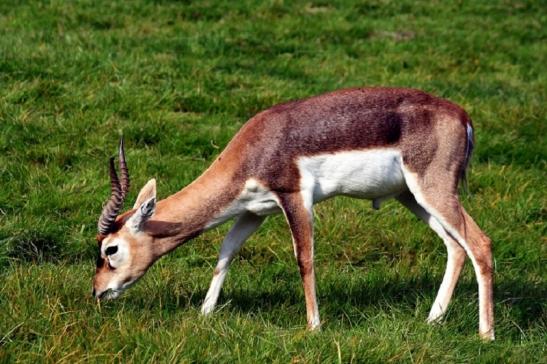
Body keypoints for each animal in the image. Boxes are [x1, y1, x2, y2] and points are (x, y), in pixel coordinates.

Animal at [92, 86, 494, 340]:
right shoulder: (253, 211)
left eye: (111, 249)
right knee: (455, 247)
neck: (258, 146)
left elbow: (305, 258)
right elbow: (226, 253)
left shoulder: (294, 198)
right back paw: (432, 320)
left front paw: (314, 326)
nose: (98, 291)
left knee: (480, 244)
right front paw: (205, 313)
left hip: (433, 190)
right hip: (411, 196)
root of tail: (462, 115)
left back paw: (485, 335)